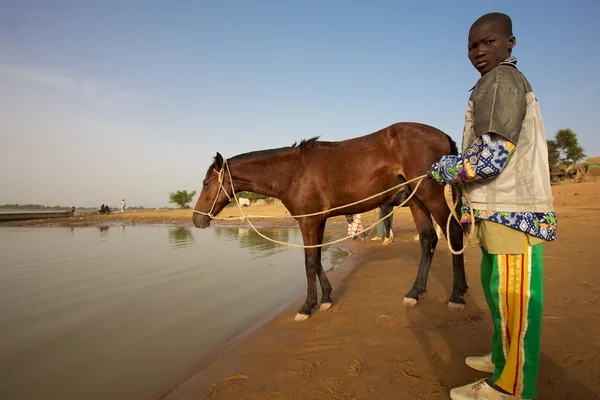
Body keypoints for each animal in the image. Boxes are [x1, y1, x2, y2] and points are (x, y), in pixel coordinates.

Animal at [192, 122, 468, 322]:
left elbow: (309, 262)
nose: (196, 219)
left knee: (453, 232)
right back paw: (415, 292)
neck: (292, 172)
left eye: (206, 183)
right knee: (428, 239)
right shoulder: (318, 221)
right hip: (416, 201)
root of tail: (441, 135)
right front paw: (325, 297)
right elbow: (316, 259)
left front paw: (307, 306)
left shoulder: (308, 221)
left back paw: (457, 295)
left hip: (431, 196)